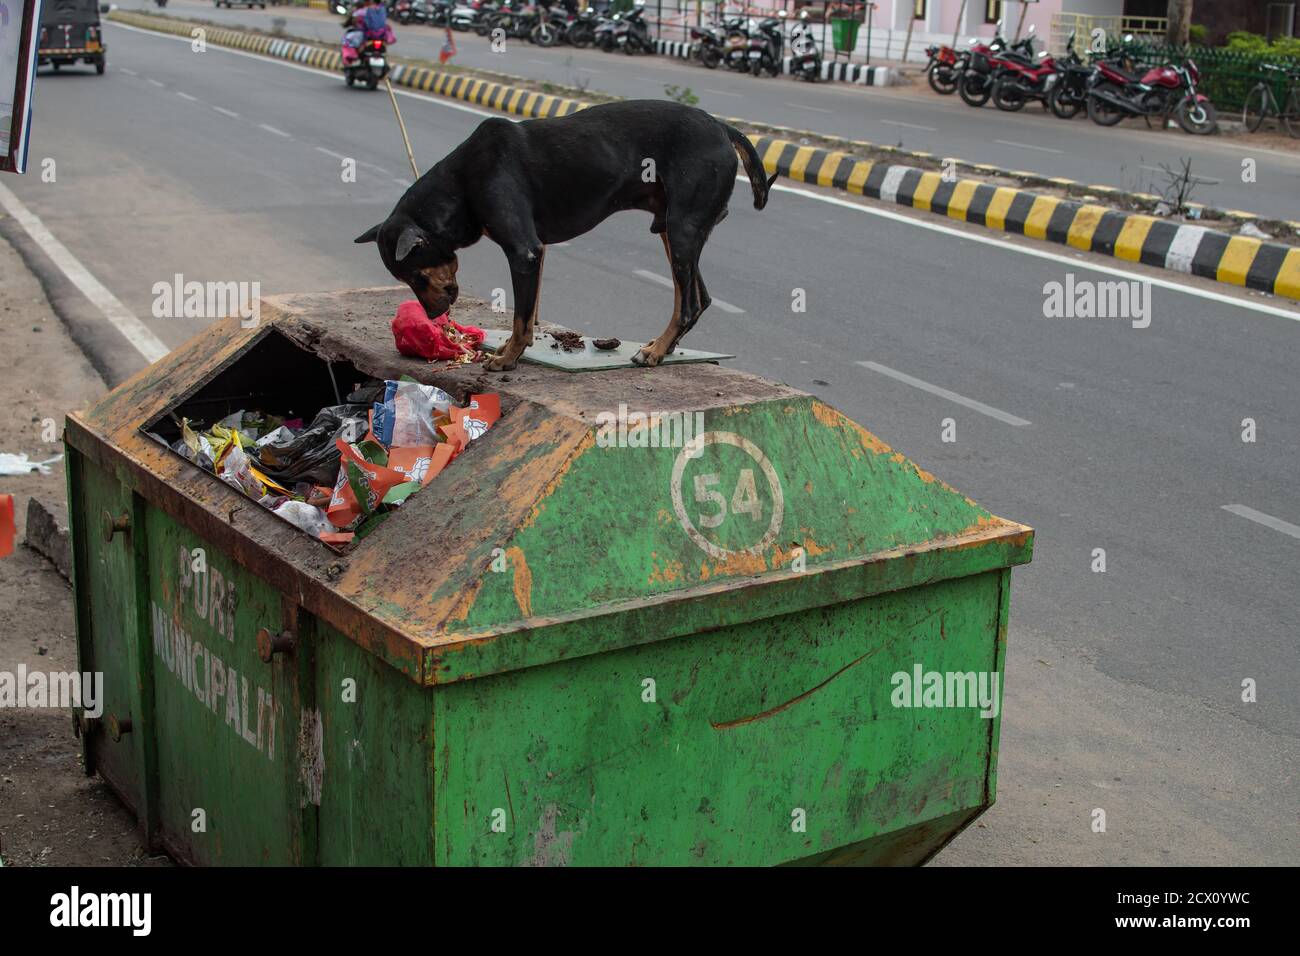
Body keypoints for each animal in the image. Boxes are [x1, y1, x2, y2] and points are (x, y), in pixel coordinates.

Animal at [358, 100, 769, 369]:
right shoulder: (535, 253)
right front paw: (510, 349)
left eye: (415, 276)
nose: (433, 315)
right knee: (699, 298)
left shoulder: (523, 252)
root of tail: (723, 127)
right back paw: (664, 347)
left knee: (688, 304)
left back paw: (656, 351)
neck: (461, 184)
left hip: (683, 230)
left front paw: (509, 358)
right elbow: (527, 314)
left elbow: (521, 317)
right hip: (672, 230)